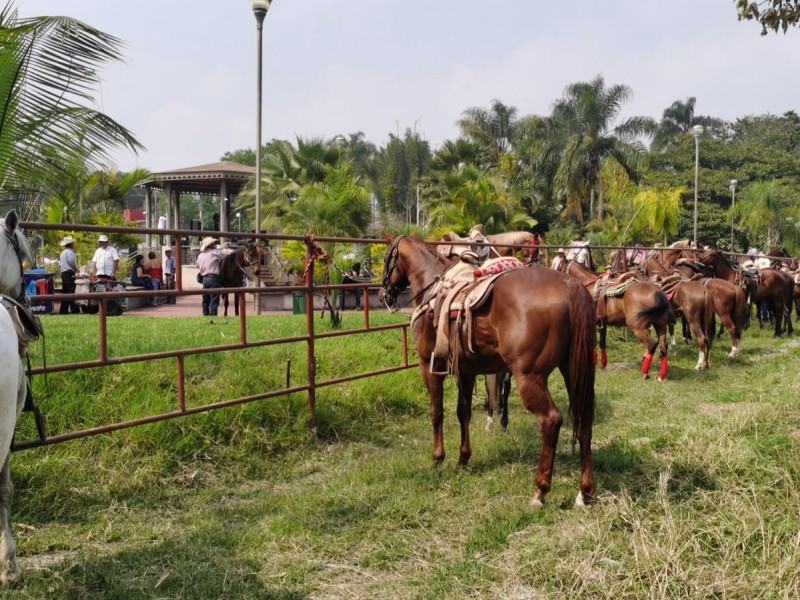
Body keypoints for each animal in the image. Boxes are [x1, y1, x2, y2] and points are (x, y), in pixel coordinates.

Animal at [378, 237, 596, 508]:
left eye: (387, 258)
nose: (384, 295)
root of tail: (570, 285)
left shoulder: (429, 367)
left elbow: (437, 413)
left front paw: (438, 458)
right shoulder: (466, 371)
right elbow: (463, 413)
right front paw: (463, 459)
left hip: (530, 378)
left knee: (551, 421)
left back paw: (540, 492)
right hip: (573, 371)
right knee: (584, 417)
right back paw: (584, 492)